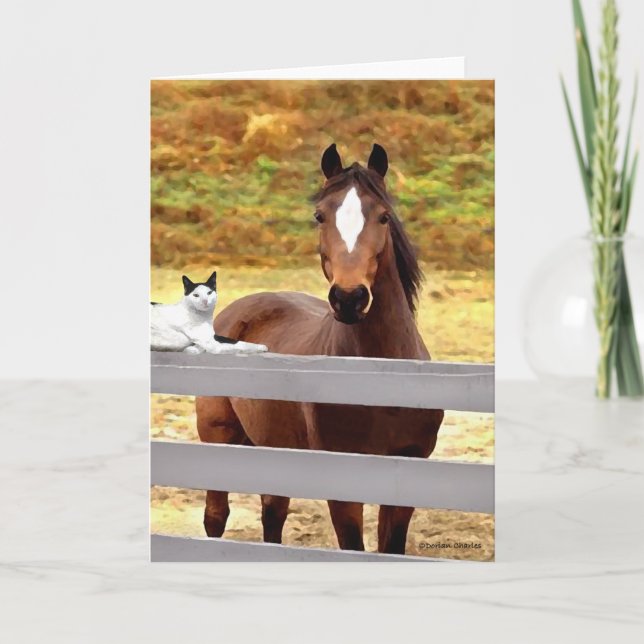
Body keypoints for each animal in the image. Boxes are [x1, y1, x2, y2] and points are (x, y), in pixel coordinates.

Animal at [196, 143, 444, 554]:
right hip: (217, 436)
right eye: (320, 216)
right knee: (216, 517)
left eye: (384, 216)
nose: (349, 298)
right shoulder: (342, 485)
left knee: (273, 513)